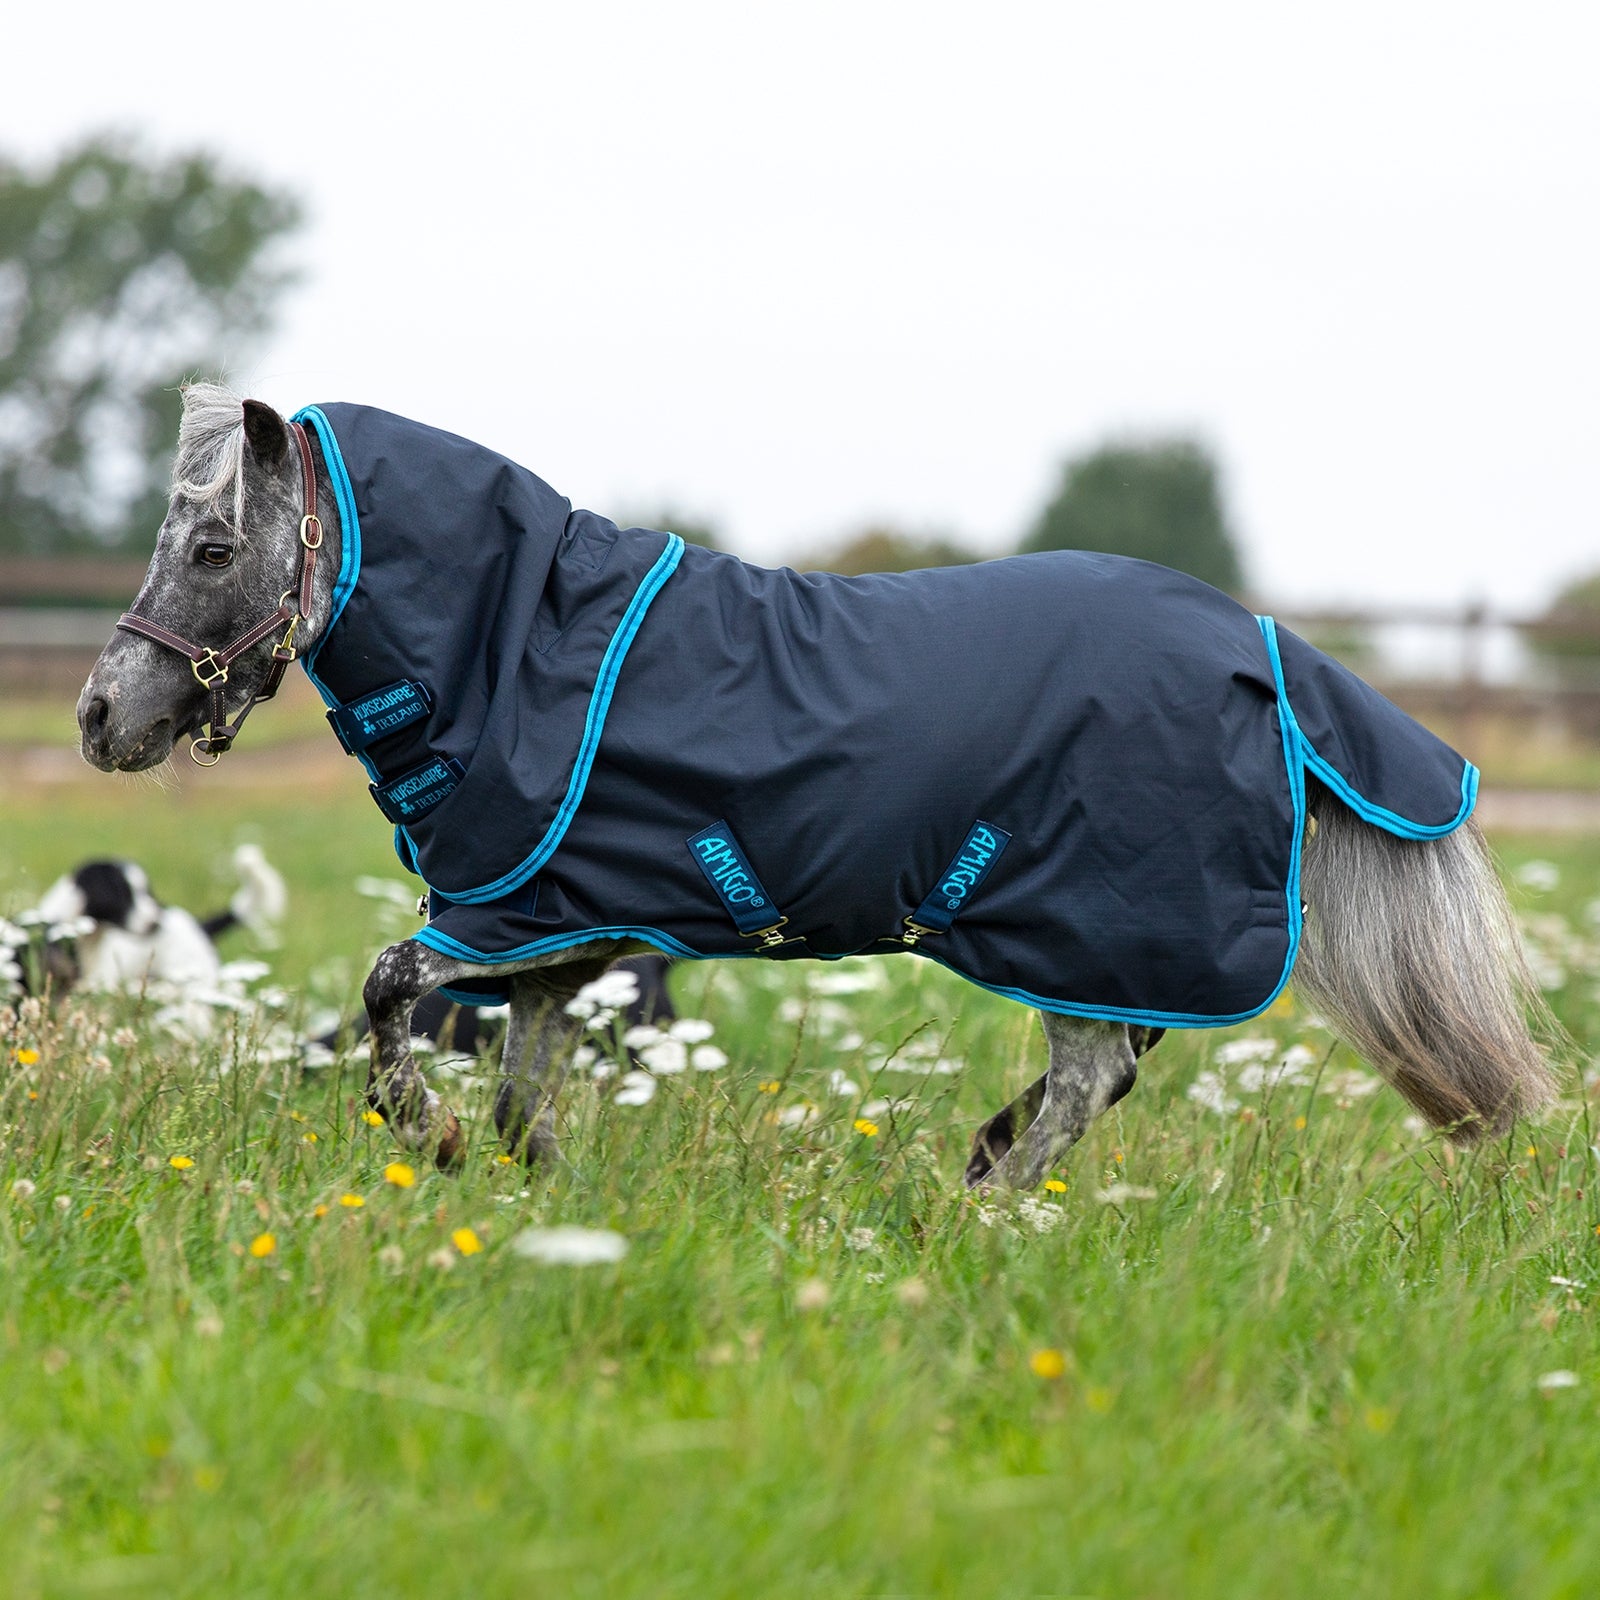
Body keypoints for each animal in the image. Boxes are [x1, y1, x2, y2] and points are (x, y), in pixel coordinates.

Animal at [77, 384, 1557, 1184]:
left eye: (212, 548)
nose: (102, 716)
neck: (524, 639)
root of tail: (1264, 645)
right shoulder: (560, 947)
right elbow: (518, 1100)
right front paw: (531, 1193)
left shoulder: (498, 924)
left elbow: (390, 1000)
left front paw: (426, 1143)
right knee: (1111, 1072)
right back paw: (980, 1163)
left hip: (1099, 928)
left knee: (1091, 1082)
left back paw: (976, 1206)